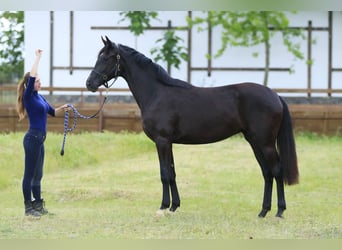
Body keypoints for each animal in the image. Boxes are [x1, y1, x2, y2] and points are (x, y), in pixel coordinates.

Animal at [87, 36, 298, 218]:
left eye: (106, 58)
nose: (89, 83)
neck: (156, 93)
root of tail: (275, 95)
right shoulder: (168, 143)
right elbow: (172, 173)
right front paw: (174, 206)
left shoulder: (162, 141)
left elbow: (164, 174)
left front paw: (163, 207)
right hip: (254, 141)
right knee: (267, 173)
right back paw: (263, 211)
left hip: (266, 143)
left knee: (277, 171)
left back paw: (279, 211)